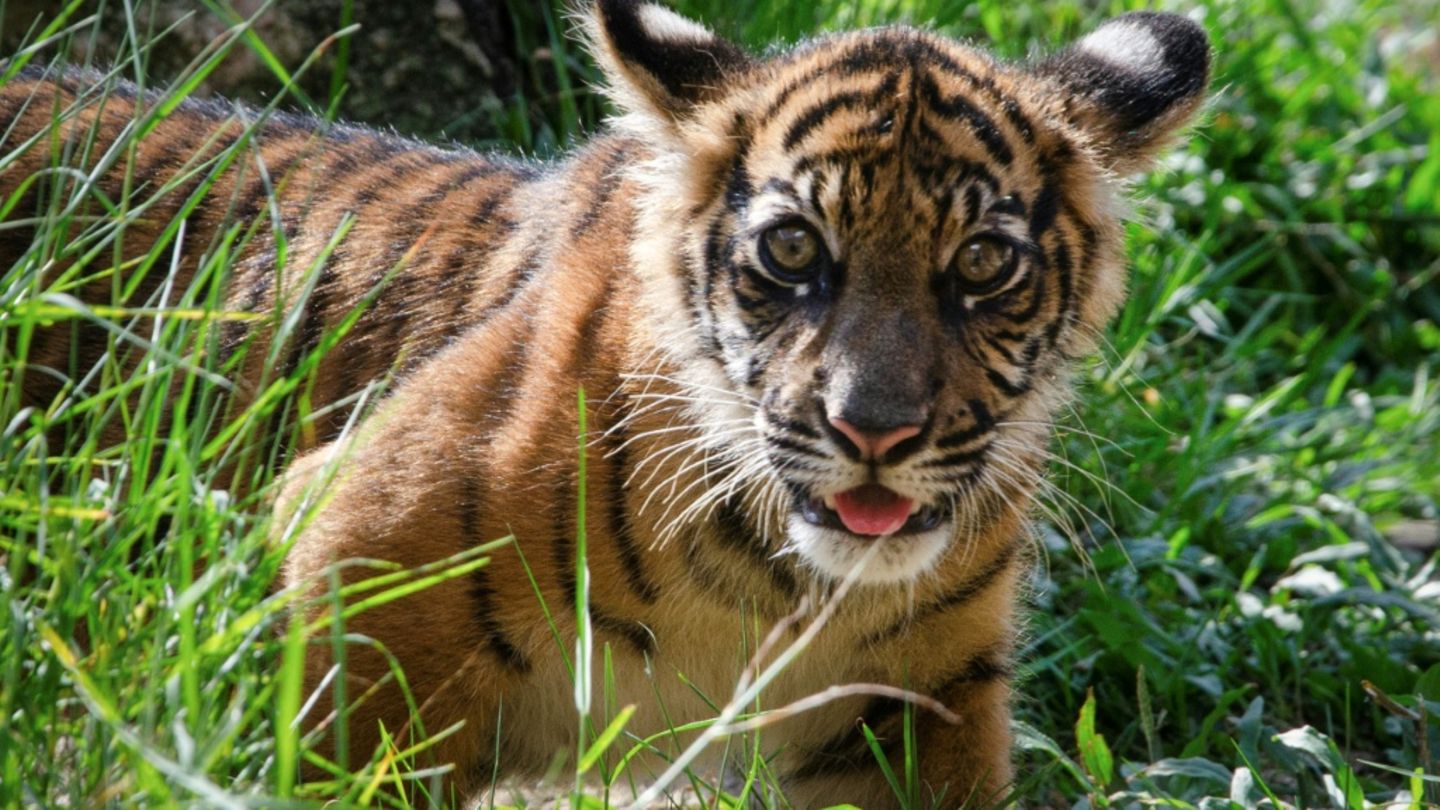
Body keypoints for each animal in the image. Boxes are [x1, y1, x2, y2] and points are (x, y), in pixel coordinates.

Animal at [2, 0, 1210, 805]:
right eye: (793, 251)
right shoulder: (357, 566)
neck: (771, 590)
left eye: (982, 265)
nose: (874, 432)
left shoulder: (924, 706)